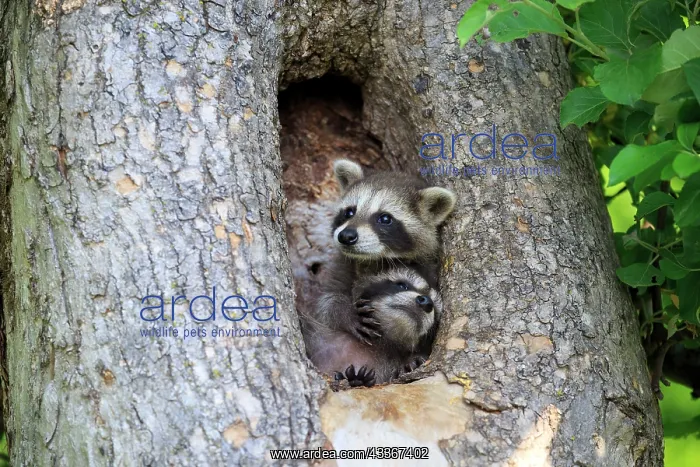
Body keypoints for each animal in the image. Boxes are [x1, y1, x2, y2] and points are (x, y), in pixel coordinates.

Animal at [303, 267, 442, 387]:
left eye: (436, 312)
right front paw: (347, 312)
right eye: (402, 285)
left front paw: (413, 360)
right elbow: (327, 303)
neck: (381, 340)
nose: (426, 301)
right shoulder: (320, 319)